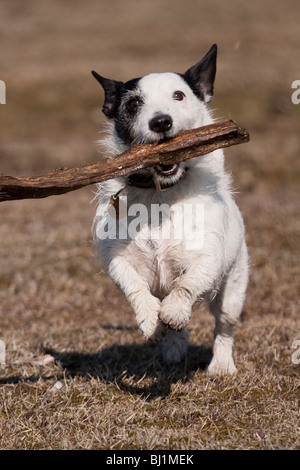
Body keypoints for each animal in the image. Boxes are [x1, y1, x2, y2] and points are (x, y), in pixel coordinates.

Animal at [91, 44, 248, 374]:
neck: (160, 194)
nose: (161, 122)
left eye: (179, 95)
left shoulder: (208, 256)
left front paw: (175, 309)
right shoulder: (118, 257)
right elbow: (134, 285)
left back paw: (221, 365)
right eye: (134, 103)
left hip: (233, 289)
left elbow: (188, 284)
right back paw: (173, 348)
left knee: (224, 327)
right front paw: (151, 318)